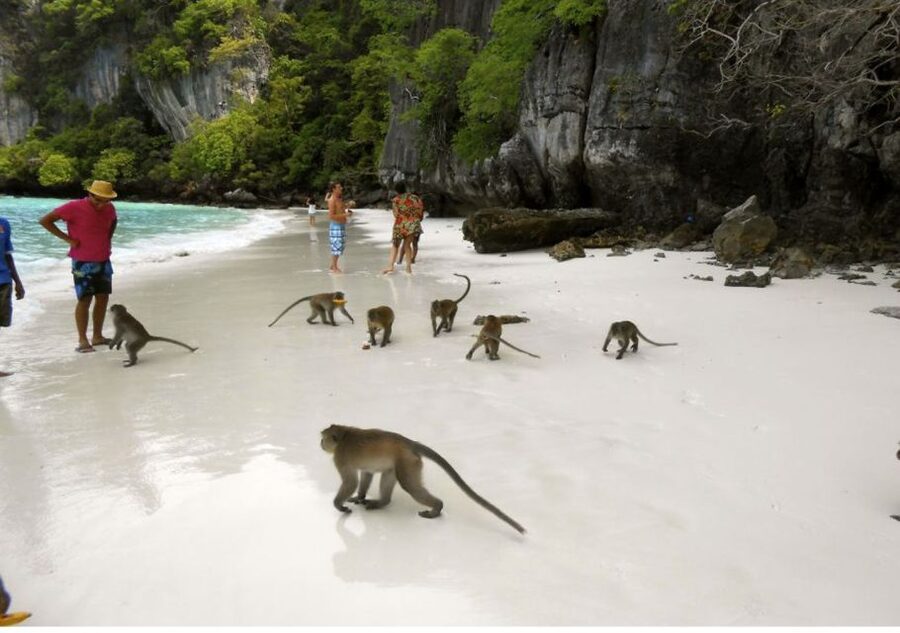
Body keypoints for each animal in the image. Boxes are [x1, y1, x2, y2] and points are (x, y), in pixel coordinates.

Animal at [320, 424, 525, 534]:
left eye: (323, 439)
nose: (320, 443)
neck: (344, 434)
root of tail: (410, 443)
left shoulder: (340, 457)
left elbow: (350, 482)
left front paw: (340, 506)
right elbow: (366, 474)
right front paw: (359, 497)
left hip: (408, 462)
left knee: (410, 486)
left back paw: (437, 508)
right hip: (401, 462)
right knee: (390, 476)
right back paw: (381, 503)